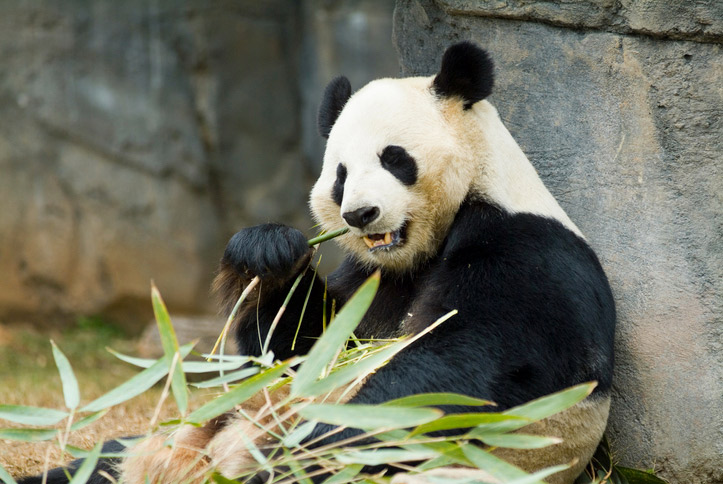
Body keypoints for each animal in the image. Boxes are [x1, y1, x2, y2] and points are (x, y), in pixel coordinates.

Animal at [18, 41, 616, 484]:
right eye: (341, 174)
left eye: (394, 159)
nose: (360, 214)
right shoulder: (369, 276)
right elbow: (299, 349)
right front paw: (269, 254)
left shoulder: (526, 252)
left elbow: (458, 371)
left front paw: (316, 440)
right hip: (180, 433)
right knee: (103, 460)